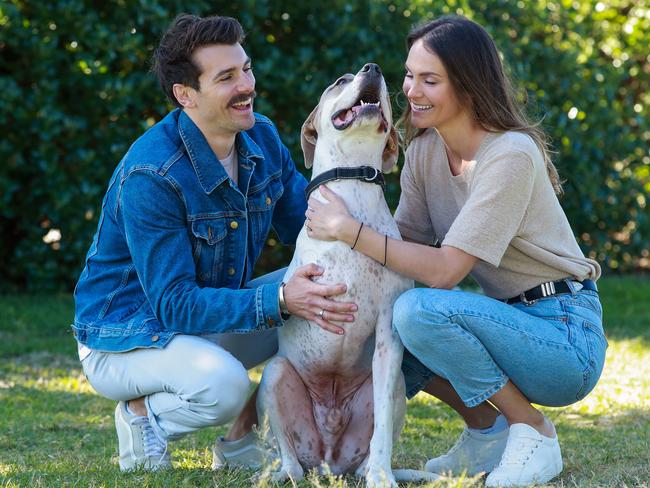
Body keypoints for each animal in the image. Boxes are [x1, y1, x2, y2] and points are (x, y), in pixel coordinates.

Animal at [258, 63, 436, 486]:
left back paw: (373, 470)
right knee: (290, 456)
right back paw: (284, 473)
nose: (373, 68)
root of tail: (328, 460)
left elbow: (383, 430)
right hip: (274, 375)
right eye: (340, 81)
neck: (352, 181)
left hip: (390, 388)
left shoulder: (388, 339)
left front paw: (383, 477)